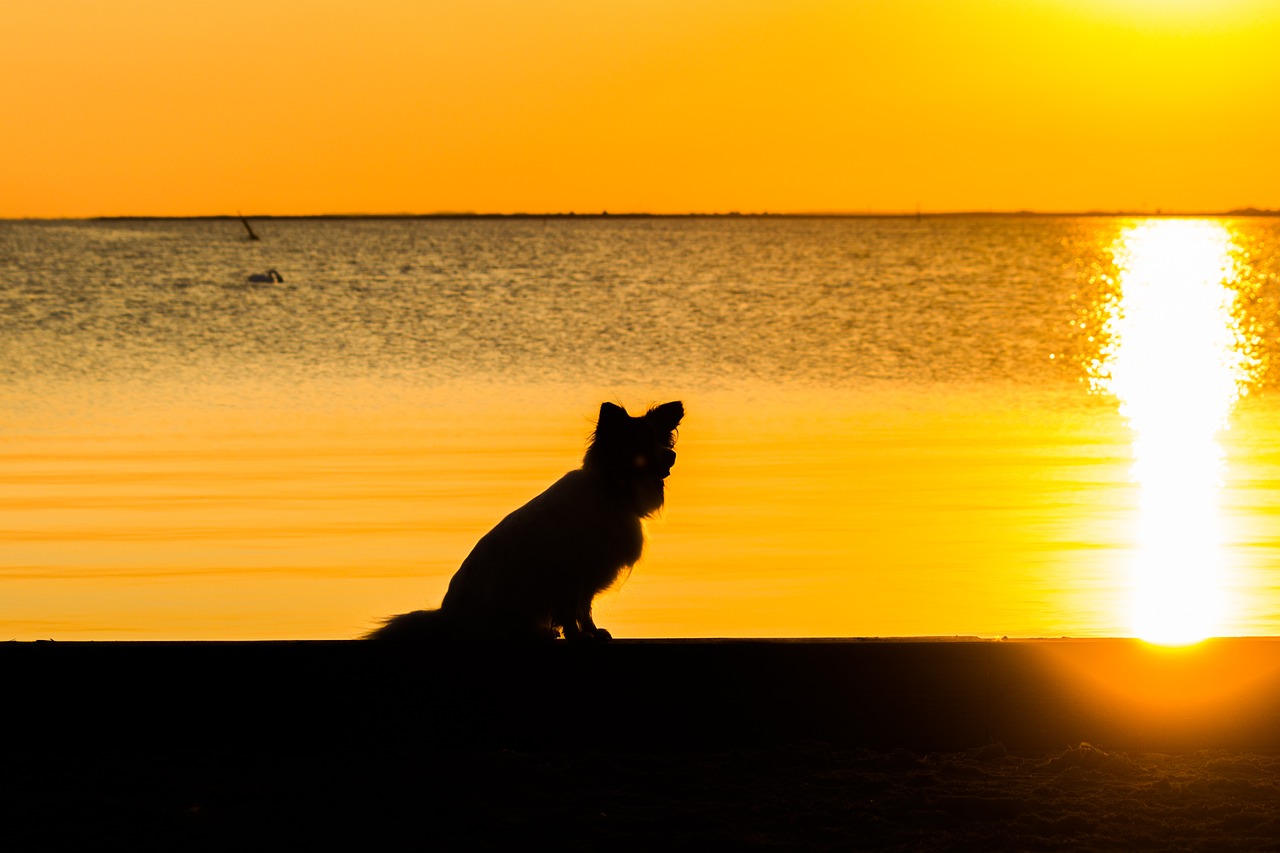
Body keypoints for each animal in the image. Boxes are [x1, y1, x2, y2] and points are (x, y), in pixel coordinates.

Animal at [371, 402, 686, 640]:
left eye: (661, 441)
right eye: (641, 445)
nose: (671, 454)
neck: (610, 490)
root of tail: (447, 618)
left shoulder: (587, 576)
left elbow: (585, 609)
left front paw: (593, 633)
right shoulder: (570, 574)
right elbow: (571, 610)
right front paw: (578, 636)